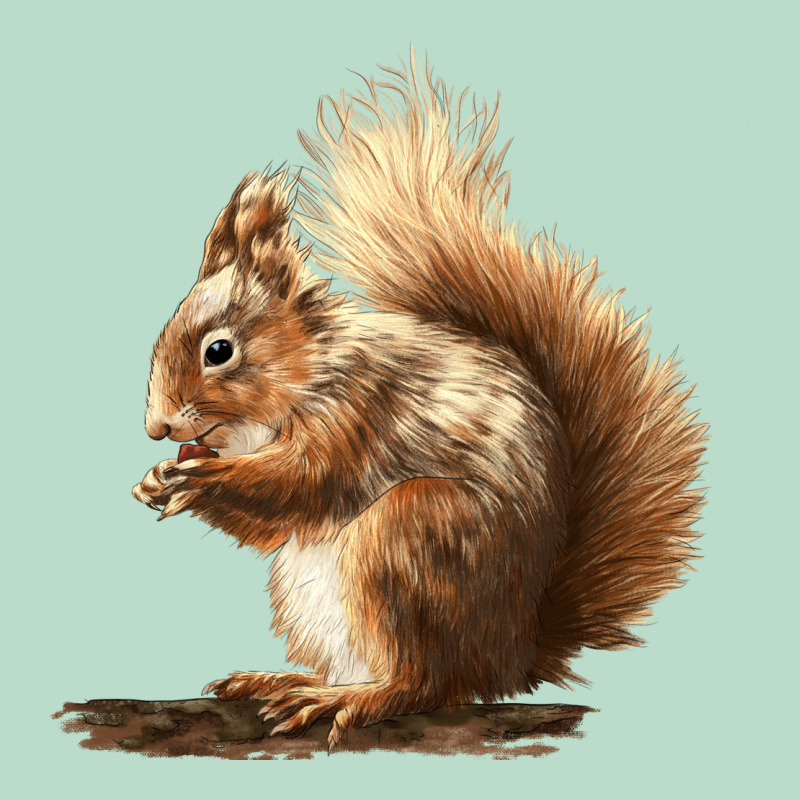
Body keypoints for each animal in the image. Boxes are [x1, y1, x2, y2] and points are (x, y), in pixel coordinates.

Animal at [133, 55, 707, 752]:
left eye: (219, 351)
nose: (157, 427)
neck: (304, 375)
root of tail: (511, 655)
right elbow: (269, 523)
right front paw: (154, 479)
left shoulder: (358, 414)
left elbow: (301, 484)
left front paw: (201, 480)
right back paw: (283, 680)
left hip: (411, 538)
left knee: (425, 682)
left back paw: (343, 699)